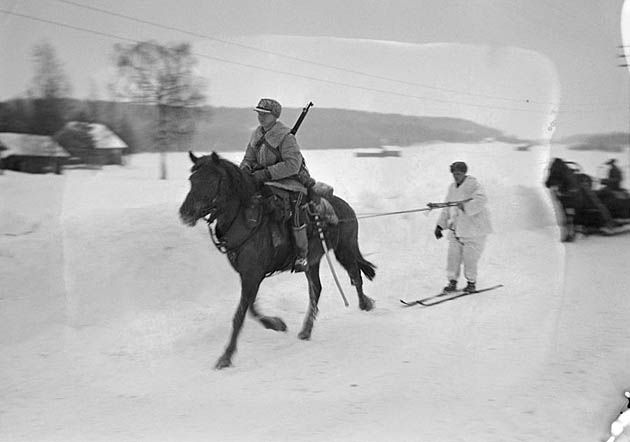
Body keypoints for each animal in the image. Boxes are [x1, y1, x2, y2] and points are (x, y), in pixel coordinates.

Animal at [179, 152, 376, 370]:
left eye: (211, 181)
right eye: (192, 180)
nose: (185, 212)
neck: (244, 218)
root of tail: (346, 208)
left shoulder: (253, 275)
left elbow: (240, 315)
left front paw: (226, 357)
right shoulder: (249, 275)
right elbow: (251, 308)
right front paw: (275, 324)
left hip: (345, 250)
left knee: (355, 275)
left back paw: (365, 303)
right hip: (313, 261)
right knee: (316, 289)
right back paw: (306, 330)